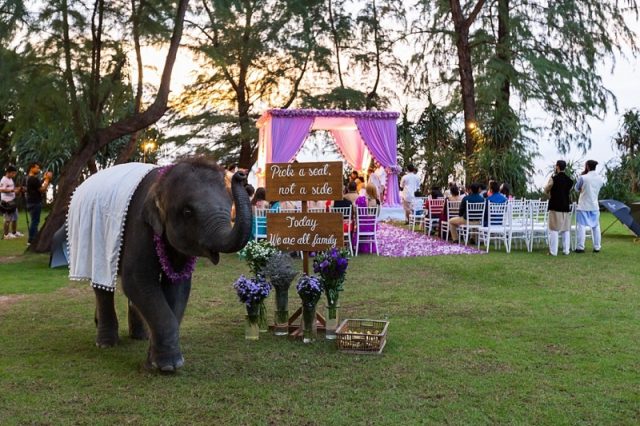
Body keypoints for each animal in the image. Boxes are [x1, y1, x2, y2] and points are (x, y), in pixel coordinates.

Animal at [67, 157, 250, 372]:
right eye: (188, 211)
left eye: (230, 205)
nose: (241, 175)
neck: (160, 183)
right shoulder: (139, 225)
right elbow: (137, 280)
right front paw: (167, 366)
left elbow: (178, 287)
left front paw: (153, 361)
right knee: (102, 285)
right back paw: (105, 343)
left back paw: (139, 336)